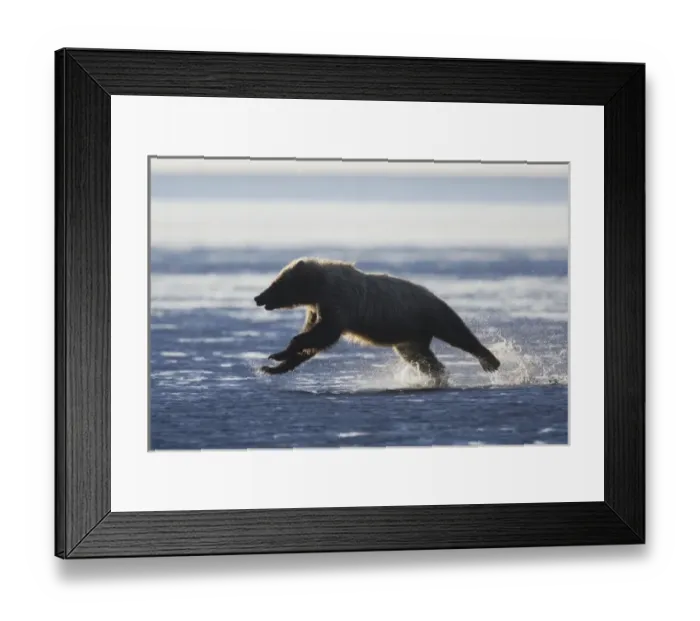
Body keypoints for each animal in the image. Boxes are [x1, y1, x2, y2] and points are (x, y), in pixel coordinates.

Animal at [253, 257, 501, 386]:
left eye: (275, 284)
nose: (258, 297)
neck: (318, 287)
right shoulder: (318, 306)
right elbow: (315, 339)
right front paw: (272, 367)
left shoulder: (337, 301)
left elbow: (322, 333)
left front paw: (278, 354)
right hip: (410, 336)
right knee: (420, 357)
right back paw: (438, 376)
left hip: (429, 313)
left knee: (457, 332)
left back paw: (491, 361)